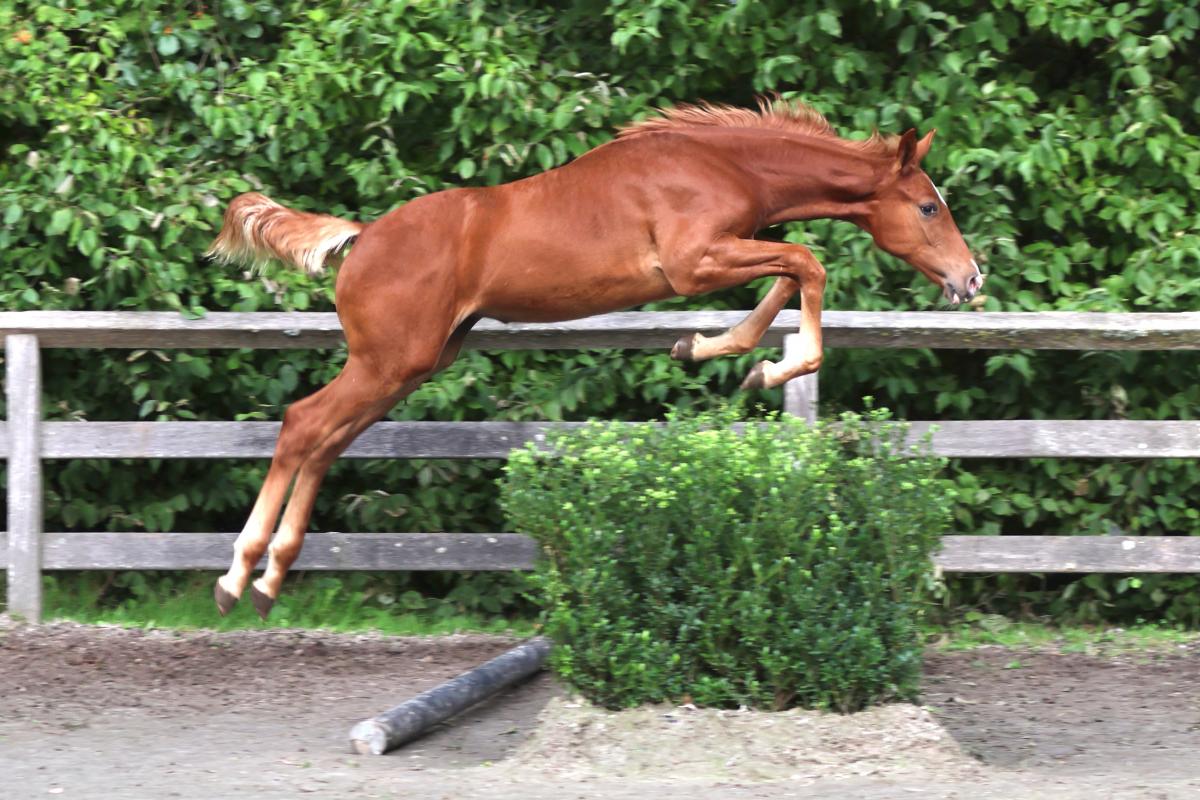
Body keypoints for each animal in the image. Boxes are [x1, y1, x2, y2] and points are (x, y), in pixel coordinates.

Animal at [206, 99, 983, 618]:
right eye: (928, 207)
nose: (970, 279)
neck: (720, 163)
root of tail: (362, 238)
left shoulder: (722, 255)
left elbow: (792, 271)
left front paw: (717, 352)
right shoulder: (693, 264)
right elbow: (806, 262)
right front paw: (765, 366)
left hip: (409, 367)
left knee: (323, 441)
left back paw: (270, 578)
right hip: (388, 363)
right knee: (303, 425)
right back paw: (239, 576)